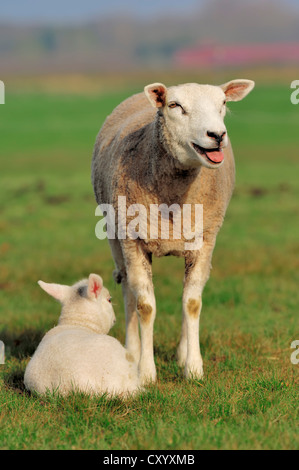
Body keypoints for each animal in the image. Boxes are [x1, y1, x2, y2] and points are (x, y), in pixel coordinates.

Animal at [92, 79, 255, 384]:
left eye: (223, 104)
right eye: (175, 105)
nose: (217, 135)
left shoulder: (204, 240)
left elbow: (191, 302)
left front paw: (193, 367)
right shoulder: (133, 240)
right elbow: (145, 306)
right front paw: (146, 372)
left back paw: (181, 352)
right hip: (115, 235)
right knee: (128, 291)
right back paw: (132, 352)